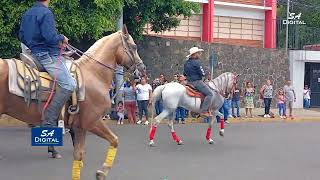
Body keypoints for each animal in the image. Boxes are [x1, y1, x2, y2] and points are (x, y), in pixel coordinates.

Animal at [0, 27, 145, 180]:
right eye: (134, 46)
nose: (142, 69)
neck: (94, 74)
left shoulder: (80, 127)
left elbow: (78, 155)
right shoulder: (92, 122)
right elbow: (114, 140)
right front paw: (102, 172)